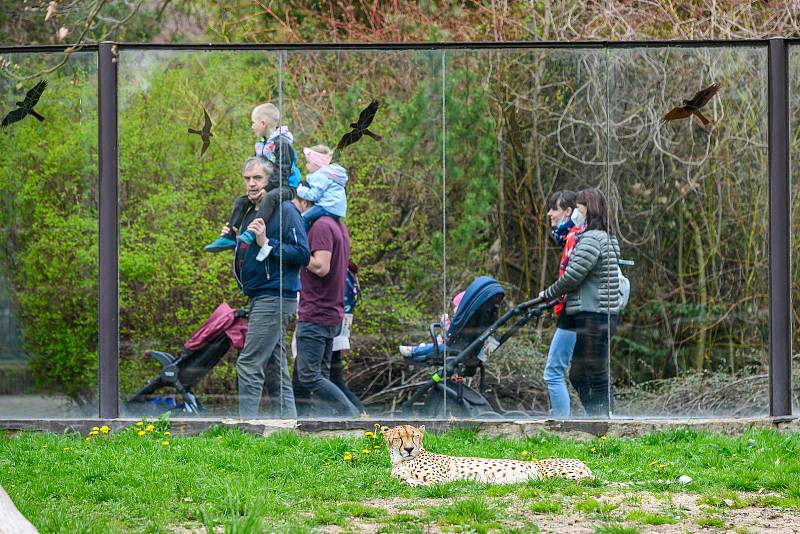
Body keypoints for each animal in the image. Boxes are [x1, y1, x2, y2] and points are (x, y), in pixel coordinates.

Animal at [382, 426, 592, 488]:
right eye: (399, 437)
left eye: (414, 436)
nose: (409, 449)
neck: (402, 461)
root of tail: (580, 460)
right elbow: (401, 478)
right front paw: (408, 481)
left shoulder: (441, 479)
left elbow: (427, 483)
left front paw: (413, 483)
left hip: (555, 474)